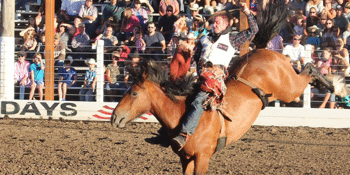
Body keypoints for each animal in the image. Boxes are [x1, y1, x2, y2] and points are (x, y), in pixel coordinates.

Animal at [110, 1, 348, 174]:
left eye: (134, 93)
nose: (114, 118)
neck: (179, 113)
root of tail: (262, 50)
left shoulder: (202, 157)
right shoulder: (185, 159)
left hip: (289, 89)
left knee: (309, 68)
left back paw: (335, 86)